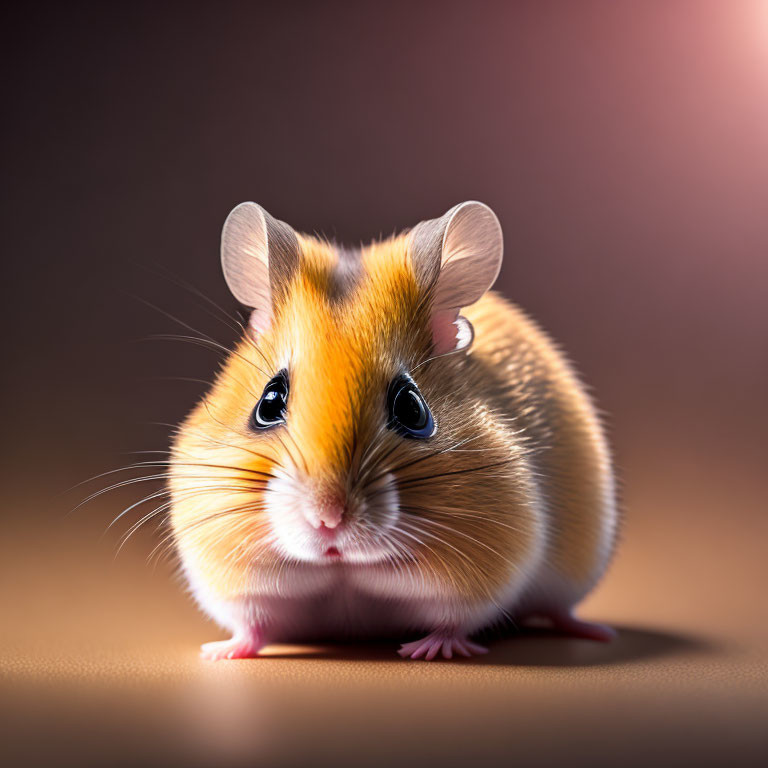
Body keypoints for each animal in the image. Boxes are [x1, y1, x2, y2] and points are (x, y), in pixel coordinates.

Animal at [168, 202, 616, 660]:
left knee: (559, 611)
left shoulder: (489, 567)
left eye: (412, 409)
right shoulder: (225, 571)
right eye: (268, 403)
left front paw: (426, 650)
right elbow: (252, 622)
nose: (329, 520)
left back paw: (596, 632)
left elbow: (454, 616)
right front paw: (218, 652)